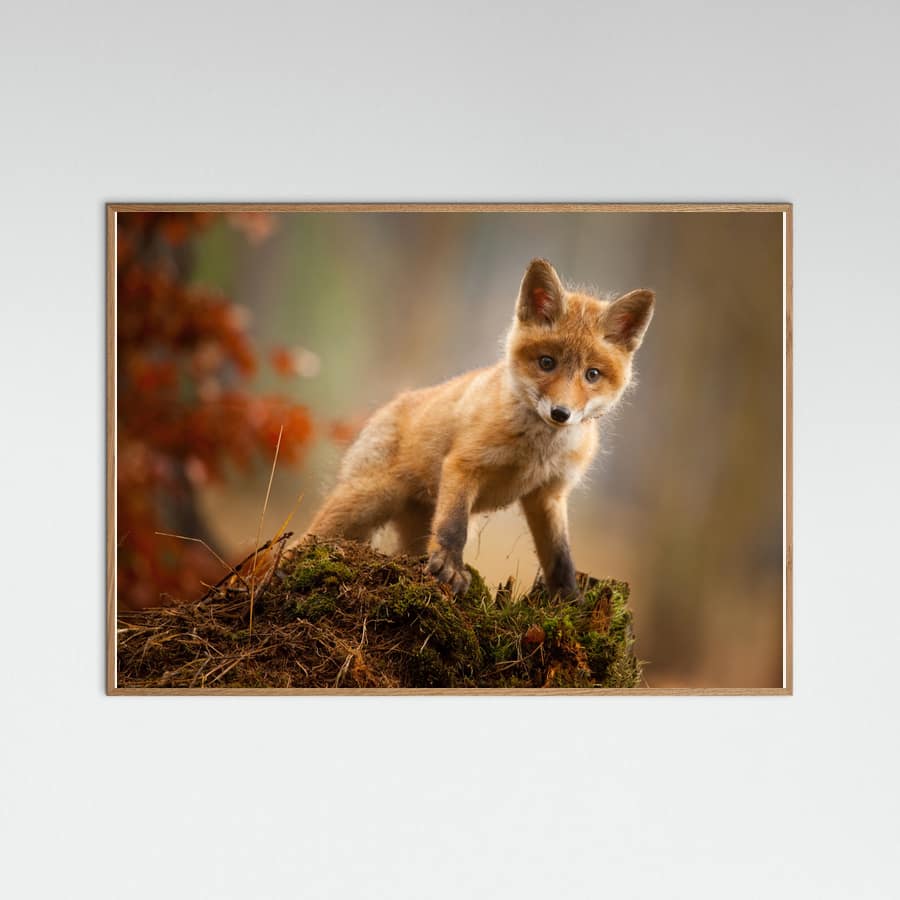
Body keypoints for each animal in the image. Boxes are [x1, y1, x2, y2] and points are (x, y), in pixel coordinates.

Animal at [306, 258, 654, 601]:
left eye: (592, 374)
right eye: (546, 363)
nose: (560, 413)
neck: (537, 451)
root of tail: (389, 406)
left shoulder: (548, 494)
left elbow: (560, 556)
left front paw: (570, 601)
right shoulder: (463, 465)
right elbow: (453, 527)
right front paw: (450, 569)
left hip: (411, 526)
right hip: (364, 502)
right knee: (307, 539)